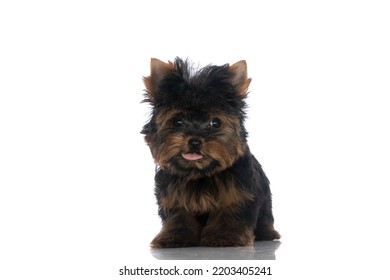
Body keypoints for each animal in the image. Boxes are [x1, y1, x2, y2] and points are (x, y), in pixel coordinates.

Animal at [142, 57, 278, 247]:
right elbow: (178, 216)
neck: (199, 173)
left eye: (215, 123)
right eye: (177, 121)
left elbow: (231, 212)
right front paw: (175, 236)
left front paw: (225, 236)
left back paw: (266, 233)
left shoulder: (238, 192)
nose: (194, 141)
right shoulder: (173, 196)